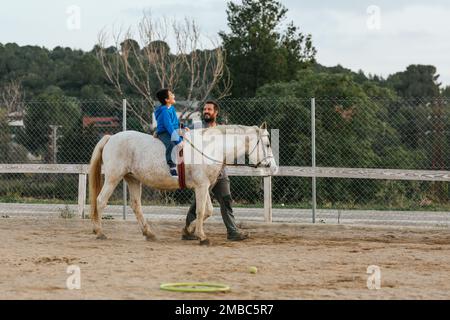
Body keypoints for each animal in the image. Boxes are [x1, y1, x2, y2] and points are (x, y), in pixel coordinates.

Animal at [88, 124, 278, 244]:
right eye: (268, 144)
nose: (274, 167)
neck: (210, 148)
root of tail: (111, 137)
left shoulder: (205, 186)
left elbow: (207, 211)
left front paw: (189, 230)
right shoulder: (201, 186)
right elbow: (201, 211)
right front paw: (202, 236)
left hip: (133, 179)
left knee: (136, 206)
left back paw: (149, 233)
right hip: (113, 178)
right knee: (100, 201)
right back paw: (99, 232)